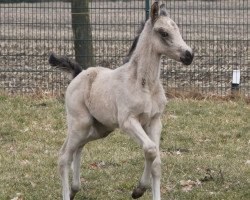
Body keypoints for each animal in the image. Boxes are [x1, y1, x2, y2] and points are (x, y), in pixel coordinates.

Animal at [55, 1, 194, 200]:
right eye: (163, 32)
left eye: (178, 29)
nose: (189, 55)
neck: (145, 84)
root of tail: (78, 73)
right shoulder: (128, 121)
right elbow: (150, 149)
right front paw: (139, 189)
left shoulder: (154, 122)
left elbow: (156, 161)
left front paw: (141, 189)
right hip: (80, 123)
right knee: (64, 156)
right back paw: (69, 191)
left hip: (100, 129)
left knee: (79, 147)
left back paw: (75, 188)